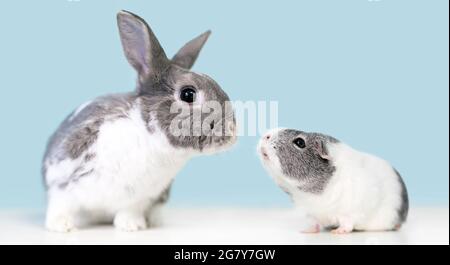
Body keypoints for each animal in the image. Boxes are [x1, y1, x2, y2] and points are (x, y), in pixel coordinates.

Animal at [42, 9, 237, 231]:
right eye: (188, 94)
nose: (232, 132)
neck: (150, 137)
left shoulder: (140, 198)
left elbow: (129, 211)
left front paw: (132, 225)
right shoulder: (61, 181)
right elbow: (60, 204)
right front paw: (61, 226)